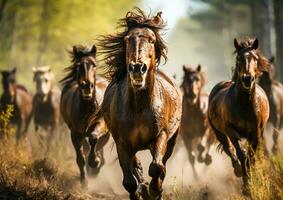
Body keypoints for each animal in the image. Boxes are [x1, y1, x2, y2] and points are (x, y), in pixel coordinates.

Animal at [60, 44, 110, 187]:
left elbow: (94, 139)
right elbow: (80, 158)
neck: (87, 108)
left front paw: (94, 162)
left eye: (94, 65)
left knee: (98, 144)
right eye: (78, 65)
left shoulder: (101, 125)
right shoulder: (75, 133)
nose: (87, 86)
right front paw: (84, 182)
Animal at [87, 8, 183, 200]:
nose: (138, 68)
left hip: (172, 139)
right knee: (135, 165)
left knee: (163, 165)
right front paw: (140, 191)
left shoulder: (160, 136)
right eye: (127, 39)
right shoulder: (122, 142)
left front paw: (152, 191)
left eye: (151, 39)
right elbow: (129, 181)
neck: (139, 107)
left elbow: (156, 167)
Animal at [209, 37, 270, 194]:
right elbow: (241, 154)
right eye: (238, 58)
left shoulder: (256, 133)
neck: (244, 104)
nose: (247, 79)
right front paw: (246, 184)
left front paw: (250, 182)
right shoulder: (231, 130)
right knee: (228, 148)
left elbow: (251, 156)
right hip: (218, 132)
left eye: (255, 58)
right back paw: (237, 170)